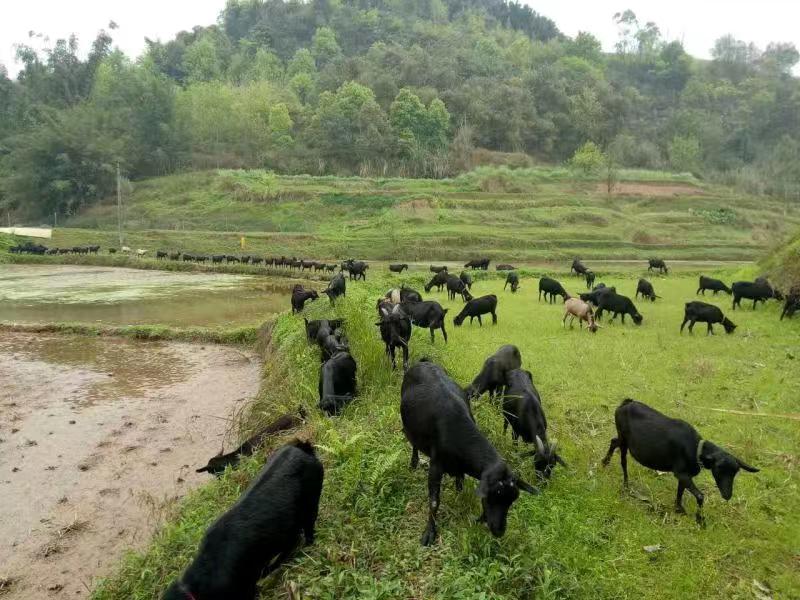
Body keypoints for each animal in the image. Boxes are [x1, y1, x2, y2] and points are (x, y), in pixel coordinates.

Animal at [400, 358, 536, 548]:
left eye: (513, 499)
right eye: (492, 496)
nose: (499, 531)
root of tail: (424, 361)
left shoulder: (460, 467)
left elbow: (460, 484)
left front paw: (459, 500)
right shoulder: (436, 465)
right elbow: (434, 501)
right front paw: (429, 533)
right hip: (409, 427)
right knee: (413, 443)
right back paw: (413, 463)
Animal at [604, 400, 760, 524]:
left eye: (735, 472)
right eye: (719, 469)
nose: (727, 495)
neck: (696, 448)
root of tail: (626, 403)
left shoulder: (684, 475)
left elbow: (680, 491)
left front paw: (679, 509)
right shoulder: (681, 473)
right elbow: (700, 496)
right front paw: (700, 519)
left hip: (623, 439)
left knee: (613, 441)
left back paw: (604, 462)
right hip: (624, 438)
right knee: (623, 460)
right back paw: (625, 483)